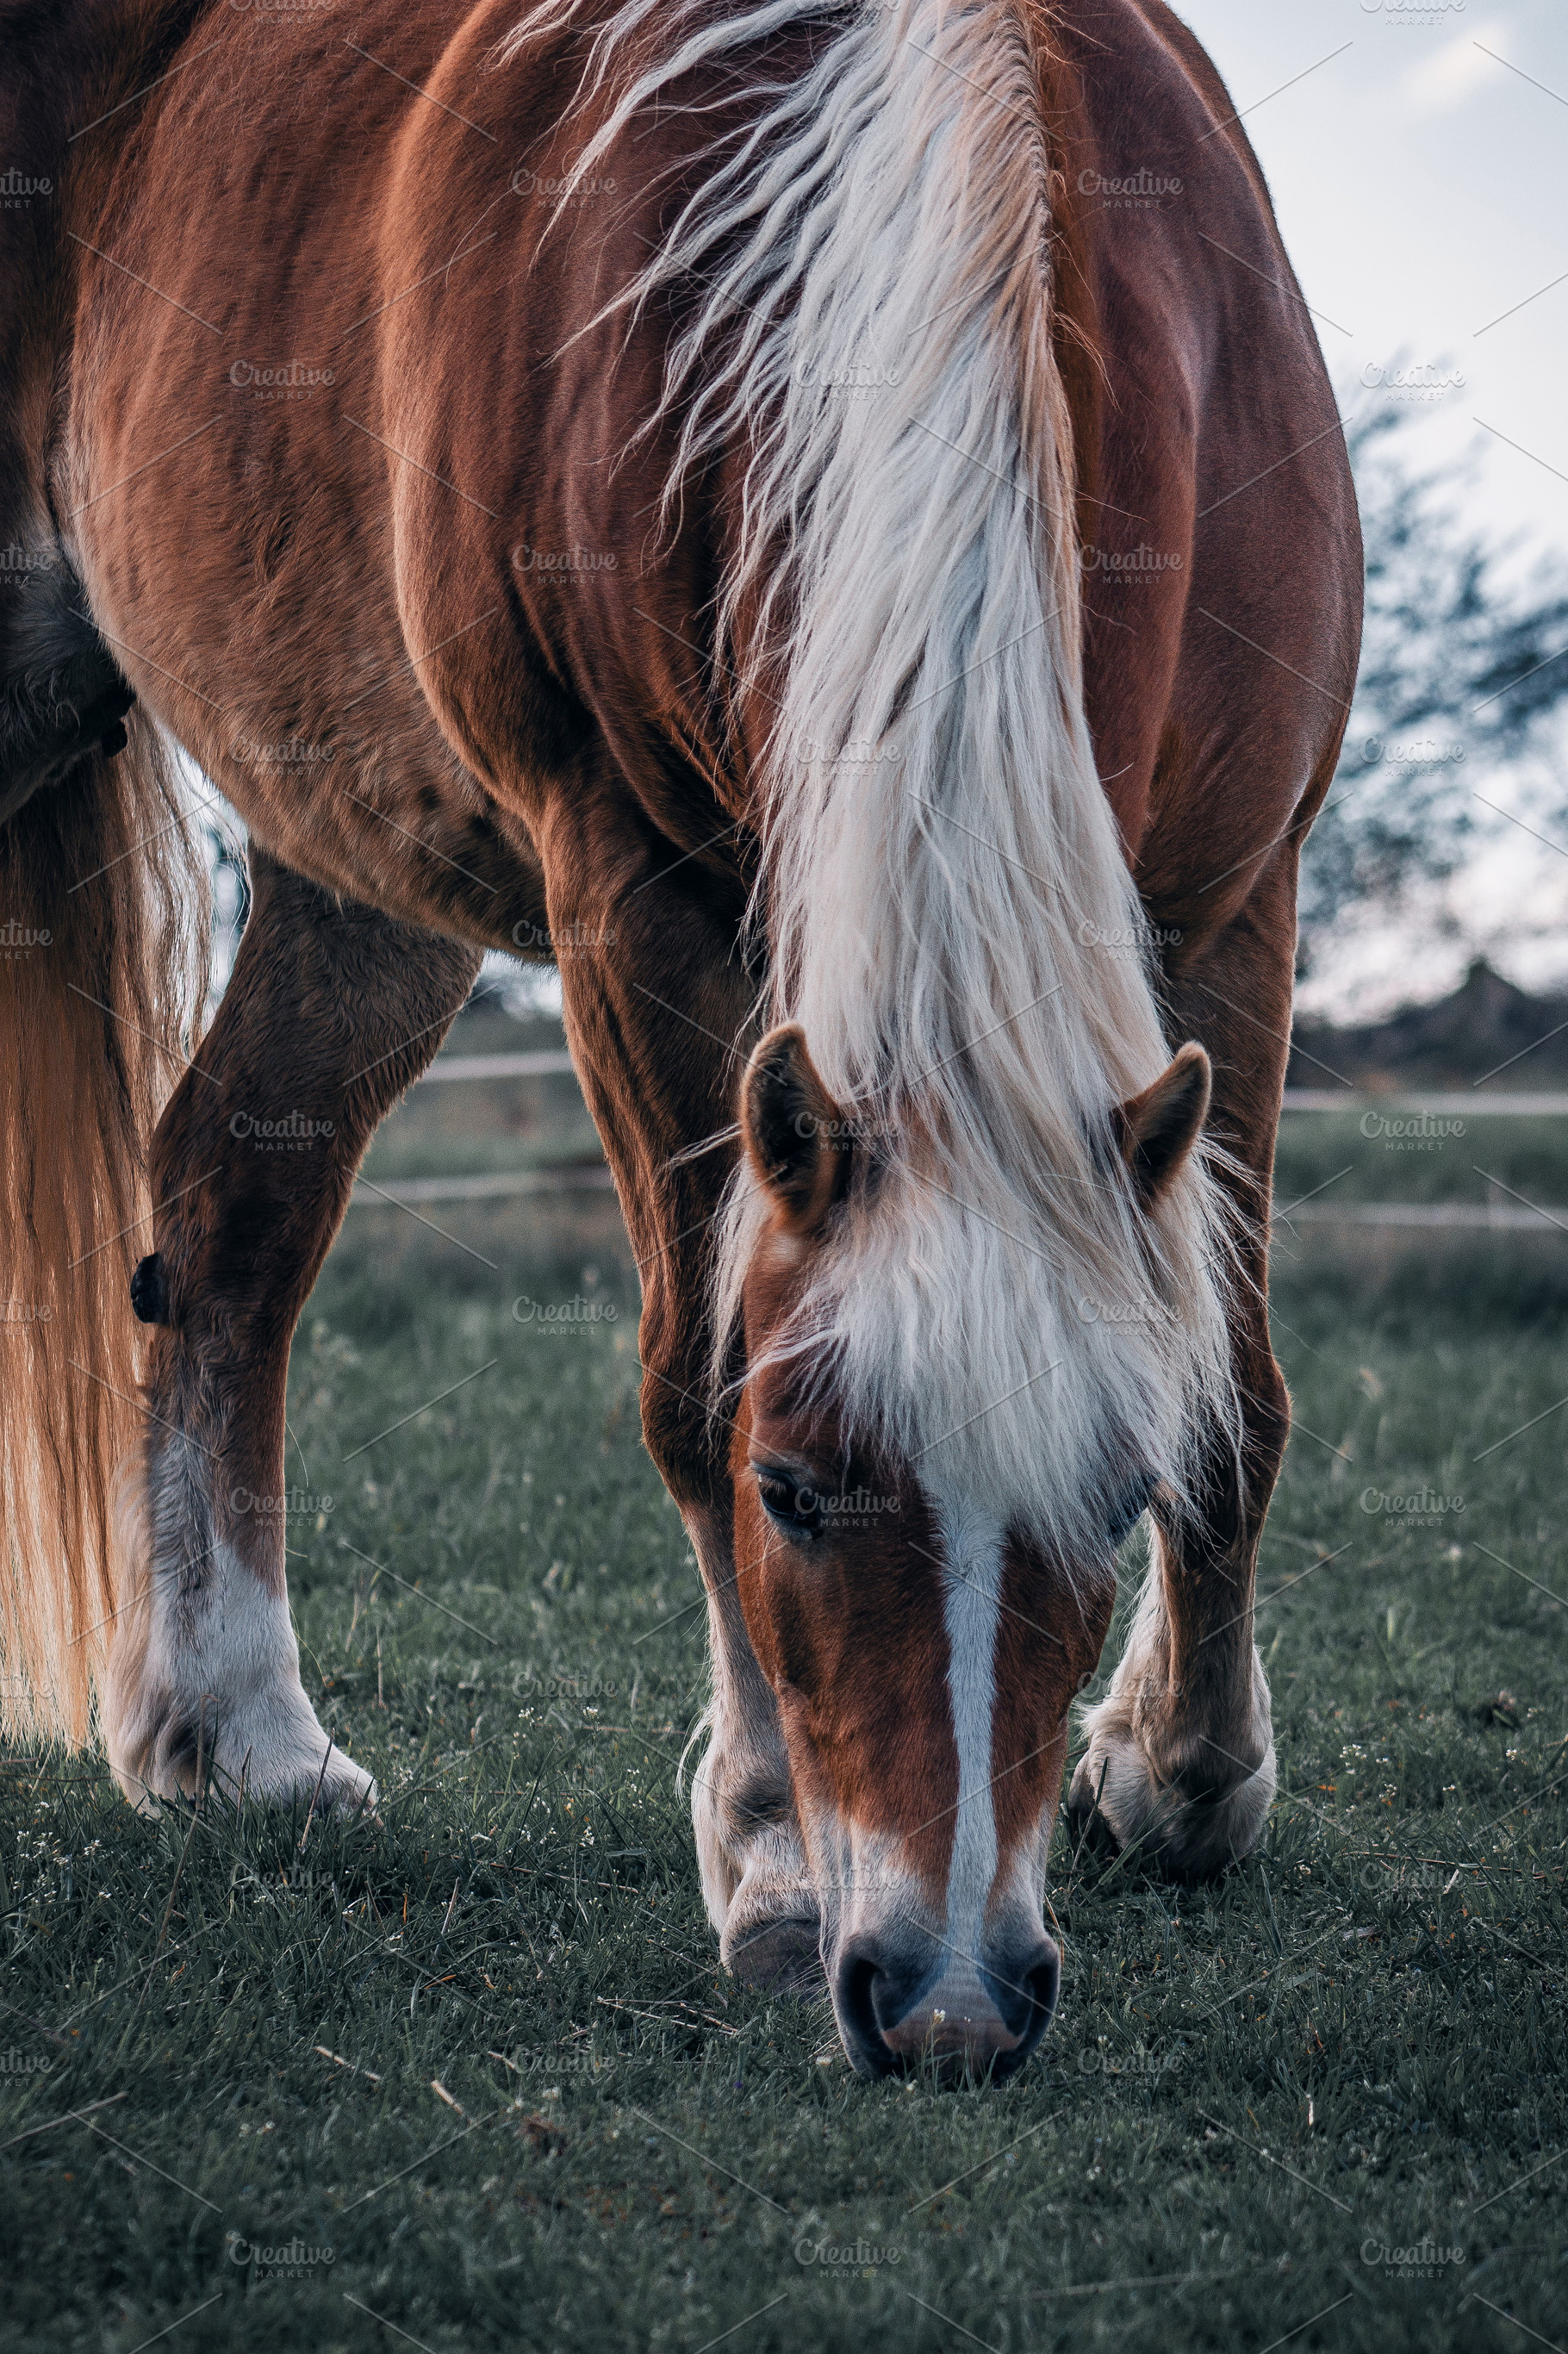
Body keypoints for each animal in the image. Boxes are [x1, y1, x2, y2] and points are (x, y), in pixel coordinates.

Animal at [0, 0, 1360, 2079]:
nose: (947, 2002)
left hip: (360, 867)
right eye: (797, 1487)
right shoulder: (632, 900)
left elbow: (1244, 1388)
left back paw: (234, 1737)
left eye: (1107, 1500)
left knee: (228, 1215)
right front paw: (776, 1857)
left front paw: (1188, 1773)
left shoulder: (1234, 899)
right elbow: (692, 1380)